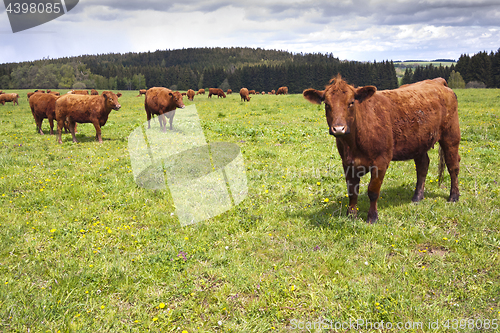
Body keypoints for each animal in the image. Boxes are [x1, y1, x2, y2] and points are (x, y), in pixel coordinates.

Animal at [300, 74, 460, 222]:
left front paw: (372, 217)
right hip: (419, 142)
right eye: (327, 104)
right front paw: (351, 215)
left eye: (351, 103)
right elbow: (352, 190)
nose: (339, 129)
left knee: (453, 166)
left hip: (451, 136)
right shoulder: (347, 162)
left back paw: (454, 196)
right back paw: (417, 197)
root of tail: (437, 81)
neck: (353, 144)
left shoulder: (381, 161)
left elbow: (373, 191)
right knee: (423, 166)